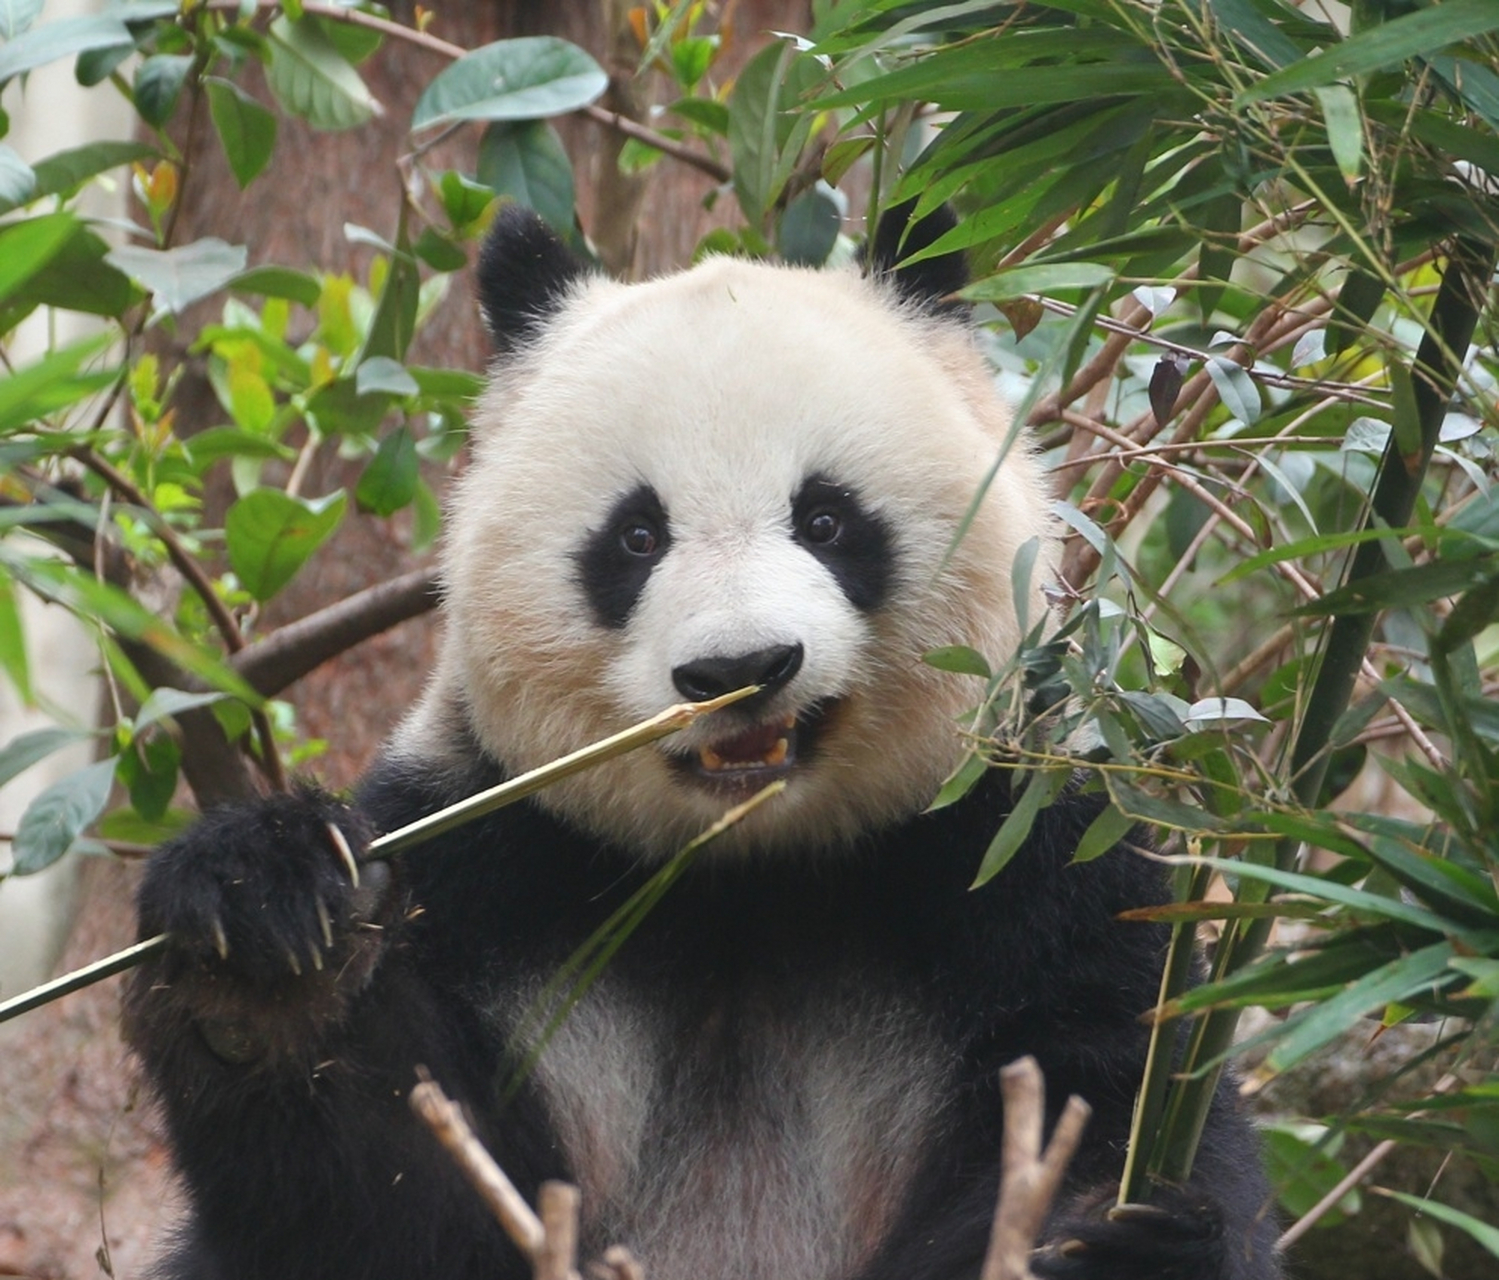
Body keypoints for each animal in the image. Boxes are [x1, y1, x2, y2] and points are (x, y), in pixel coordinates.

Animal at [122, 202, 1283, 1280]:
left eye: (826, 520)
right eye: (636, 537)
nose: (738, 668)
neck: (743, 866)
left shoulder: (1027, 847)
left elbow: (1107, 1087)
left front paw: (1113, 1240)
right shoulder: (487, 859)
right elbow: (388, 1203)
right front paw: (269, 939)